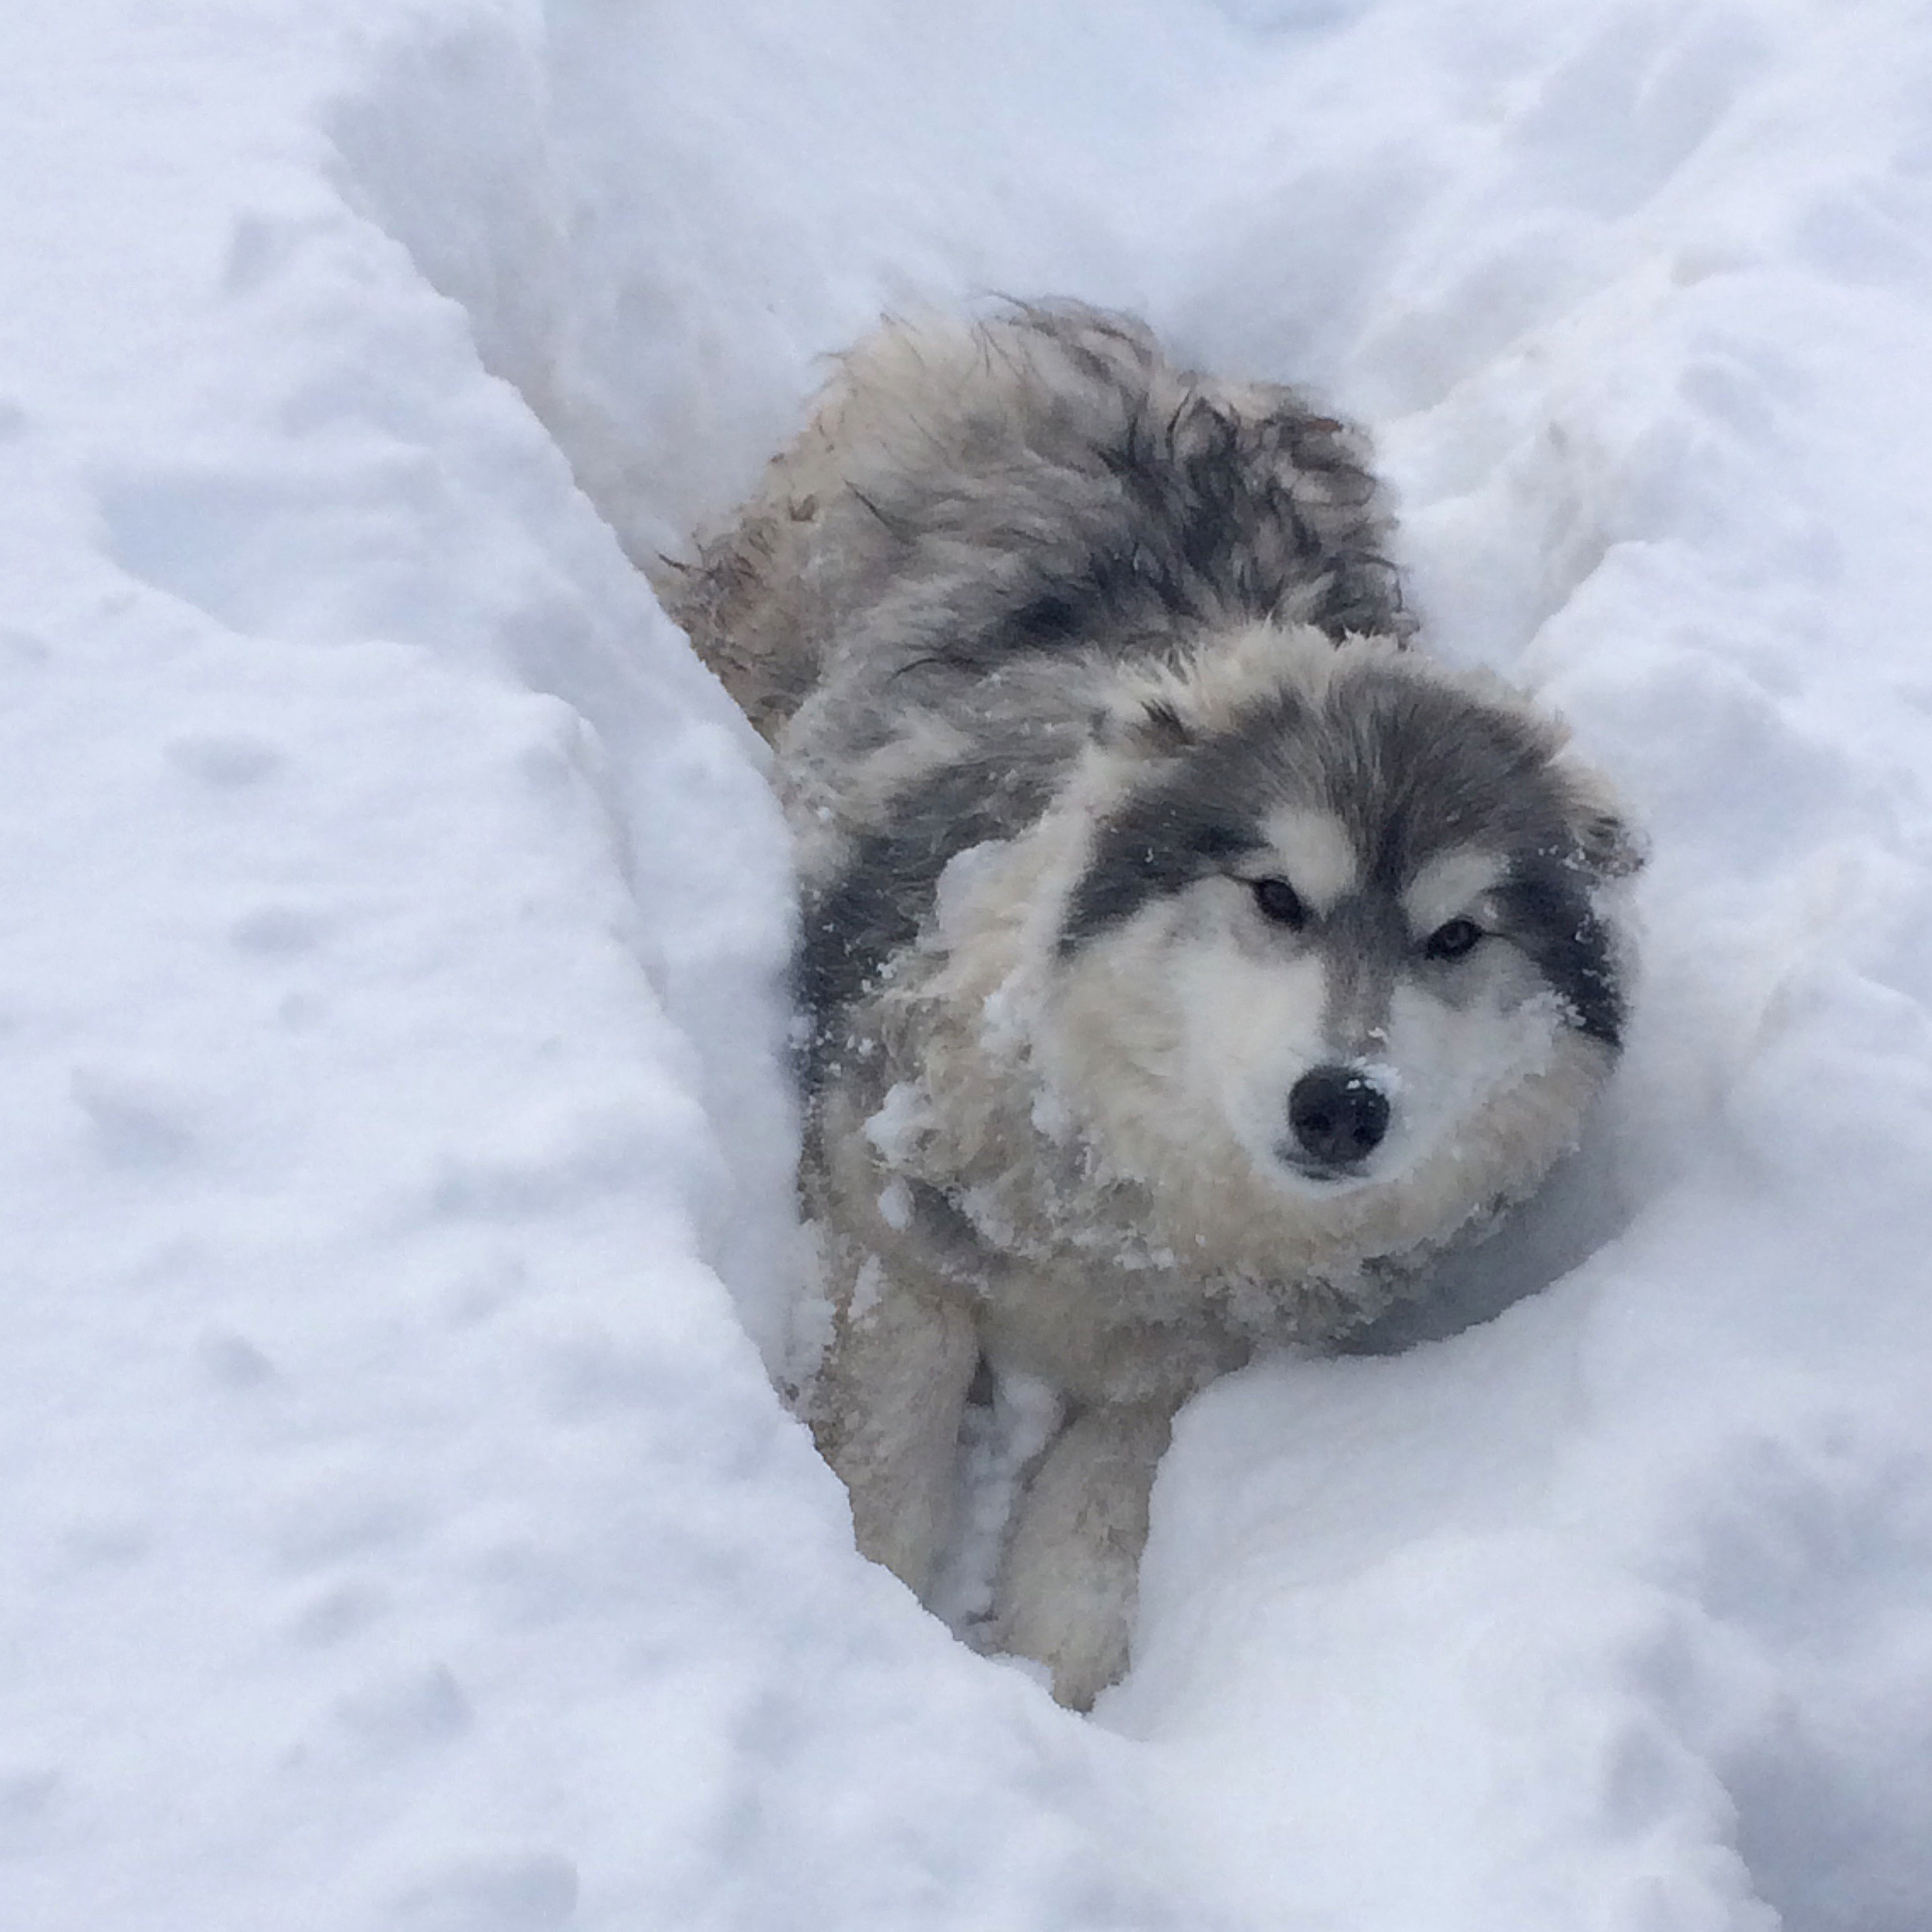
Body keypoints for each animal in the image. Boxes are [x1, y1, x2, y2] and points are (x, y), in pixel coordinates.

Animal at [668, 301, 1646, 1708]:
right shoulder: (880, 1212)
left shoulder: (1176, 1381)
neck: (1144, 1218)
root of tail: (1155, 359)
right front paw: (879, 1626)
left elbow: (1097, 1532)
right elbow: (885, 1458)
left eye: (1456, 936)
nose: (1342, 1105)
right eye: (1277, 895)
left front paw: (1047, 1692)